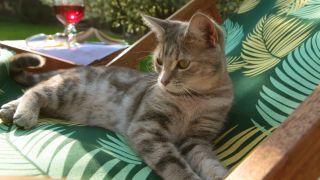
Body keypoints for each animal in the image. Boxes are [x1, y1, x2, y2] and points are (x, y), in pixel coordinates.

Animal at [0, 12, 232, 180]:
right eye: (159, 61)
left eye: (183, 64)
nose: (162, 81)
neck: (195, 99)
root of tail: (73, 69)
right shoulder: (147, 127)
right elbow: (173, 164)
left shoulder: (197, 138)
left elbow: (207, 160)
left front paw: (221, 173)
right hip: (66, 90)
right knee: (35, 90)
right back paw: (23, 113)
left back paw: (9, 109)